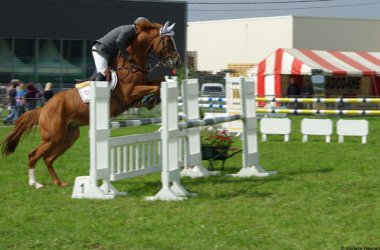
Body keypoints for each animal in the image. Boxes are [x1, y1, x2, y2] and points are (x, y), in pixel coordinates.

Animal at [0, 20, 181, 188]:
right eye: (168, 41)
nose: (177, 61)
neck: (132, 63)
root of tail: (43, 108)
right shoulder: (130, 93)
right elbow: (154, 87)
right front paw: (150, 99)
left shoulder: (137, 93)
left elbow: (159, 82)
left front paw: (152, 100)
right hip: (53, 137)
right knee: (34, 155)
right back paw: (35, 183)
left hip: (68, 137)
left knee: (48, 158)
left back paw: (59, 183)